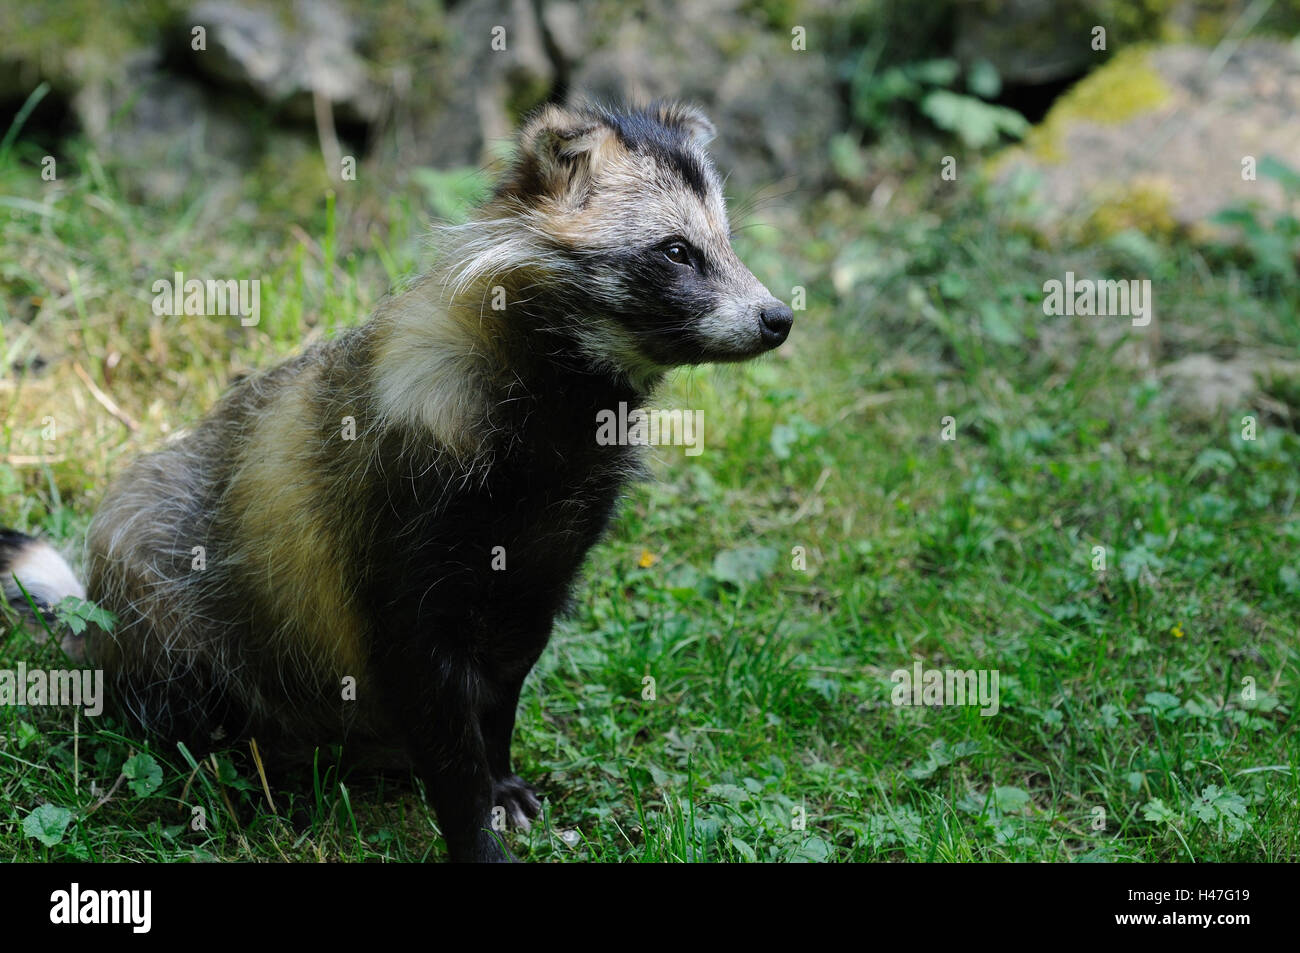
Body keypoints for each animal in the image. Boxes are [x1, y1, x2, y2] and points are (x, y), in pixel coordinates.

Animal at [2, 102, 790, 863]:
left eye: (728, 241)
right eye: (676, 250)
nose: (778, 317)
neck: (559, 417)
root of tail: (98, 621)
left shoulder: (548, 550)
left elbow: (506, 676)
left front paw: (501, 778)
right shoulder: (403, 517)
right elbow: (429, 689)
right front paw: (475, 829)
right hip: (166, 594)